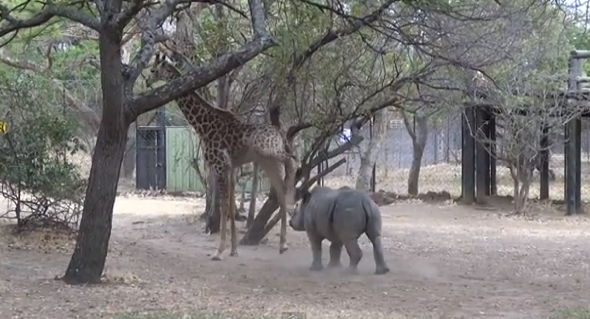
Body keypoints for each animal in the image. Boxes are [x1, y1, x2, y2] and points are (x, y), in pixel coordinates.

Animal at [146, 52, 298, 262]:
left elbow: (224, 206)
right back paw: (283, 243)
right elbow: (231, 205)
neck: (203, 126)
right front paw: (233, 249)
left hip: (271, 153)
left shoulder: (220, 165)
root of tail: (279, 133)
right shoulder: (231, 168)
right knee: (281, 186)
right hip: (269, 162)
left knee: (292, 161)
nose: (146, 81)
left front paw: (219, 251)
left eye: (153, 70)